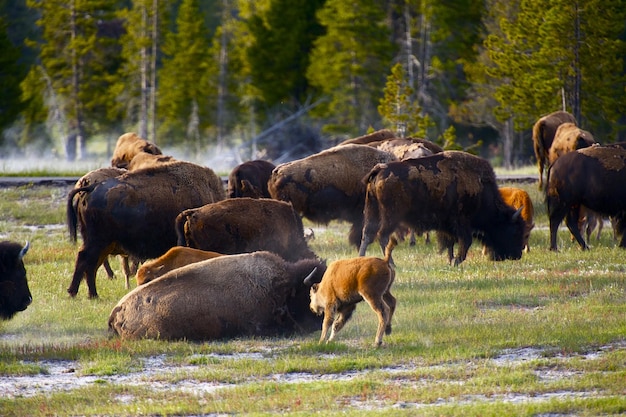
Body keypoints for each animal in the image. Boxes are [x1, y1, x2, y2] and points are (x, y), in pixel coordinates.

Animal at [66, 161, 224, 298]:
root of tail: (90, 188)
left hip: (102, 242)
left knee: (90, 263)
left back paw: (86, 294)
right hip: (98, 240)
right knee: (86, 260)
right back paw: (82, 293)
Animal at [358, 151, 524, 264]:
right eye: (514, 231)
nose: (517, 255)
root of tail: (380, 169)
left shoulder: (448, 225)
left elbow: (450, 242)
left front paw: (450, 261)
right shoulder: (462, 221)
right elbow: (465, 241)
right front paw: (457, 261)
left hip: (373, 210)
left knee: (367, 234)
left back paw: (361, 258)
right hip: (391, 216)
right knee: (382, 236)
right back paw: (391, 264)